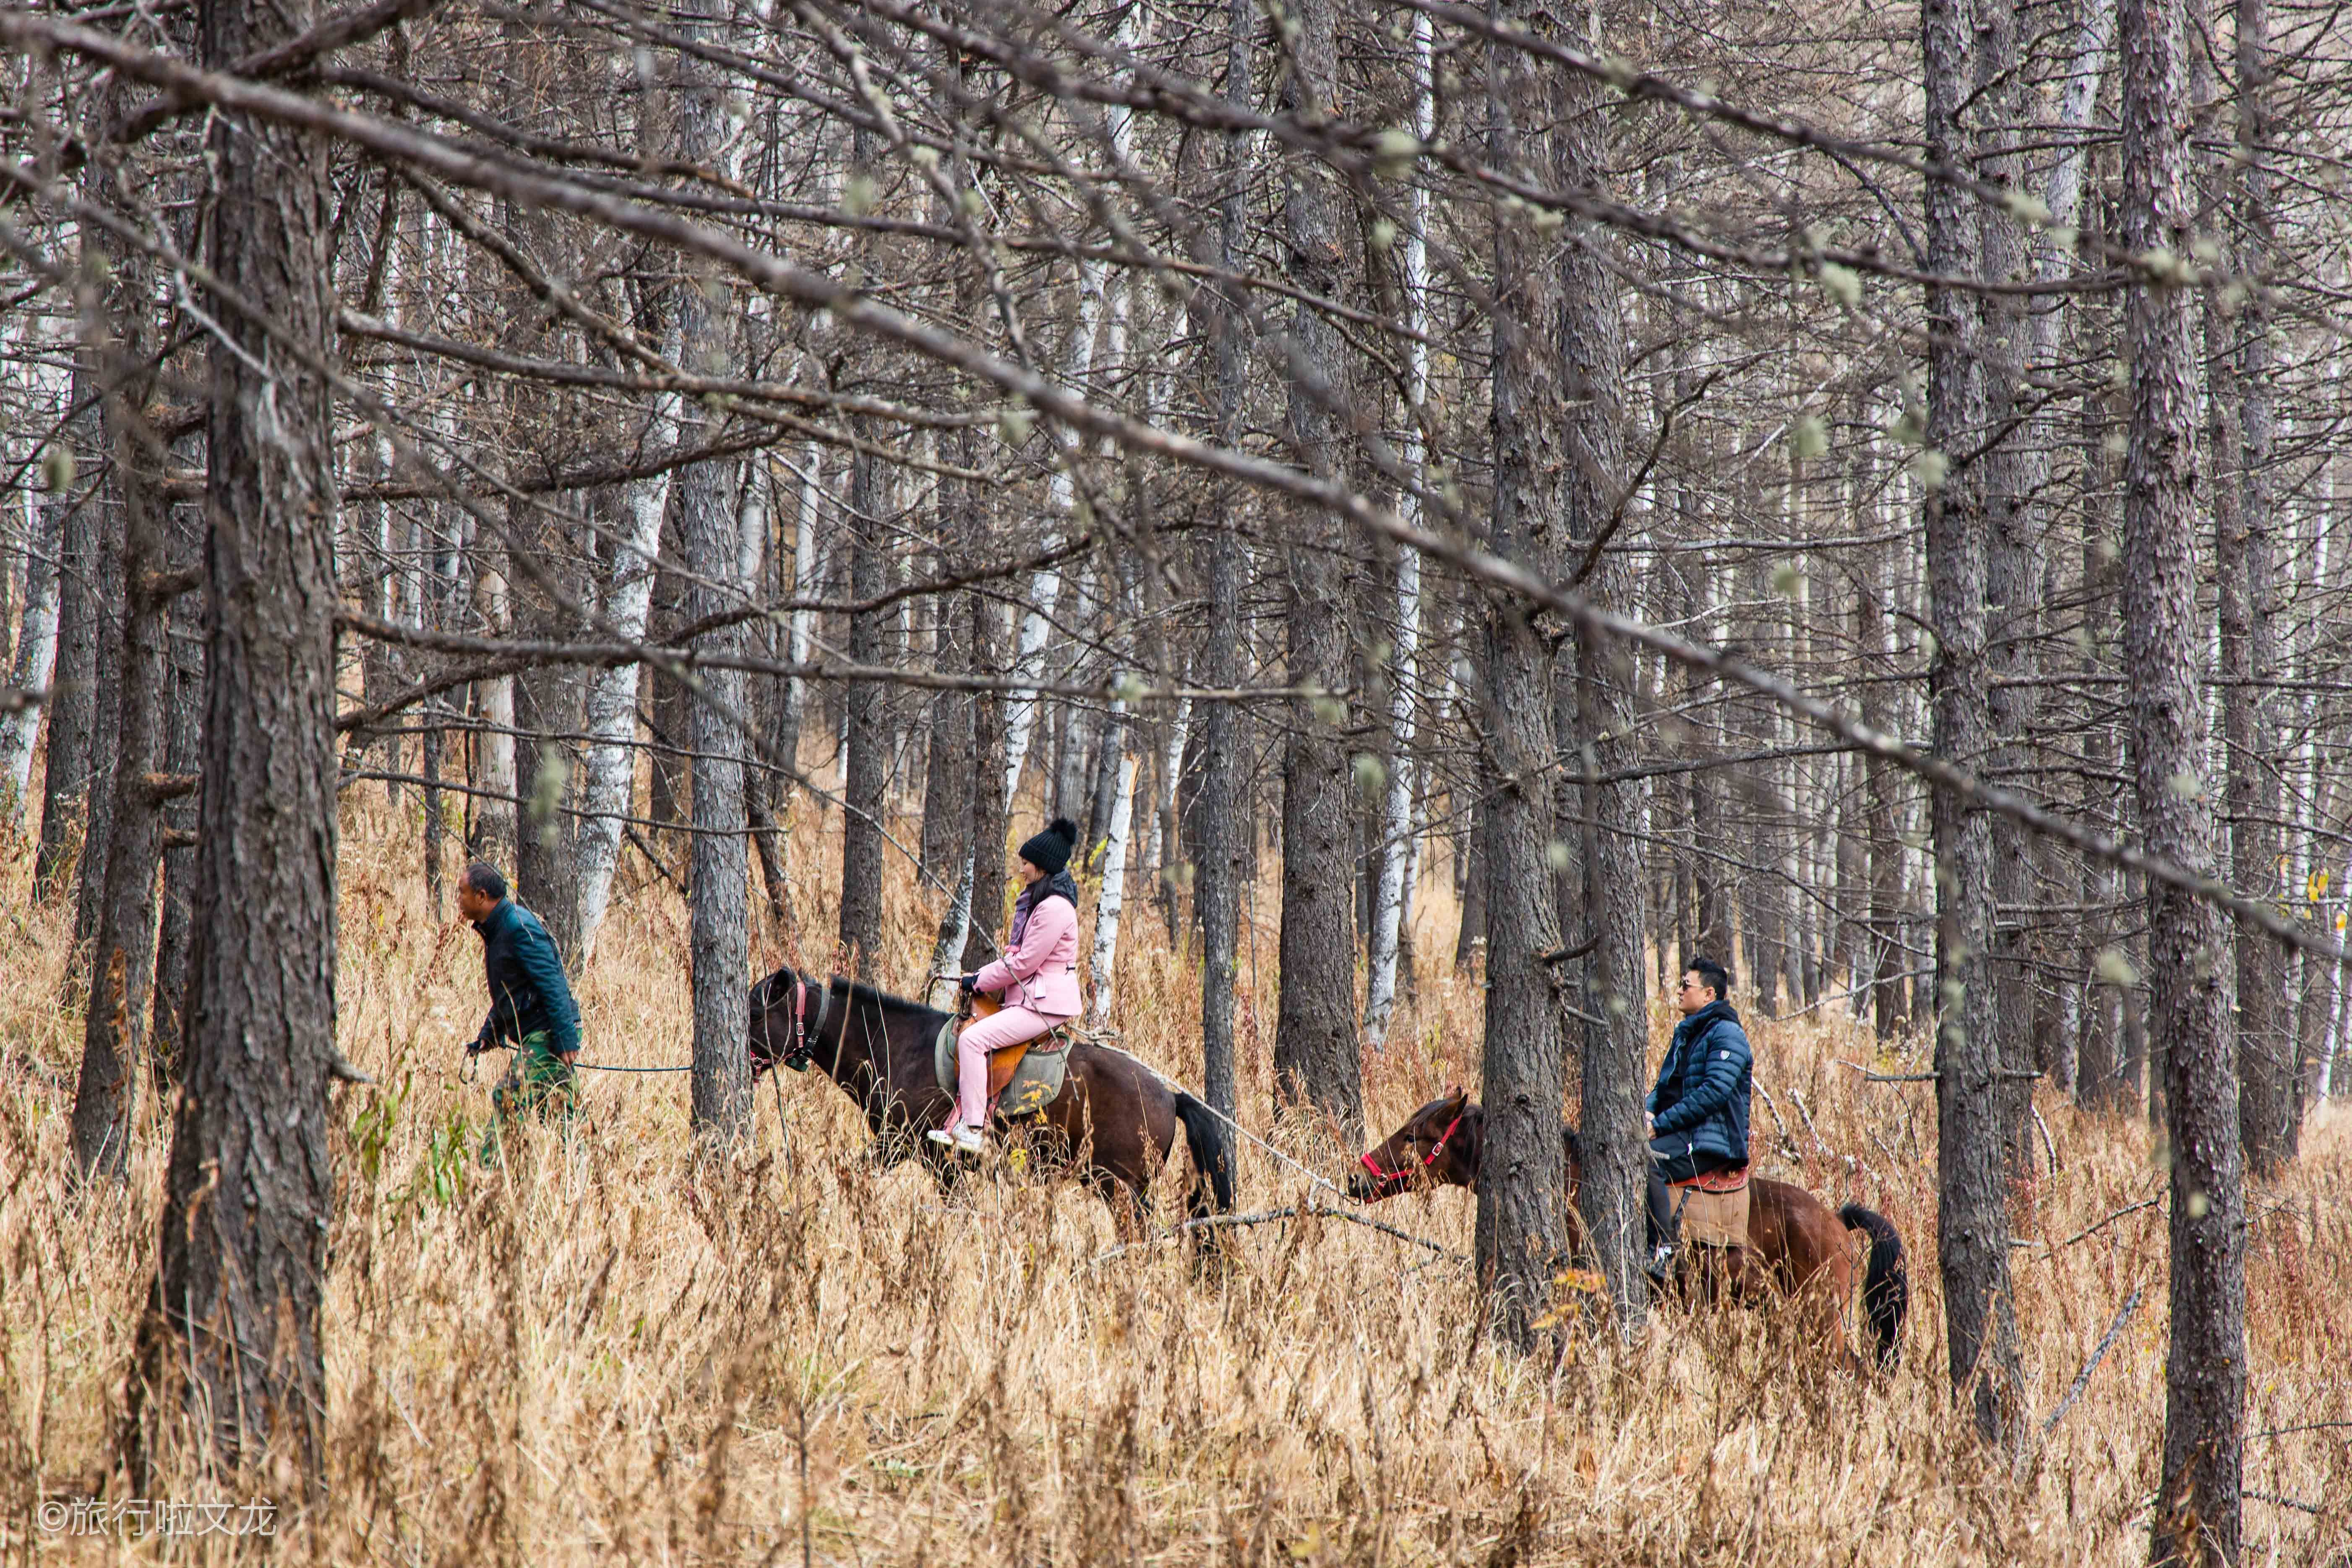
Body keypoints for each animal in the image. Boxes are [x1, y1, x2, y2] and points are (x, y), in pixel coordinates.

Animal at [752, 964, 1241, 1241]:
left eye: (757, 1010)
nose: (745, 1056)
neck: (900, 1045)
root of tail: (1167, 1093)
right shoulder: (905, 1151)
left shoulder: (922, 1155)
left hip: (1122, 1190)